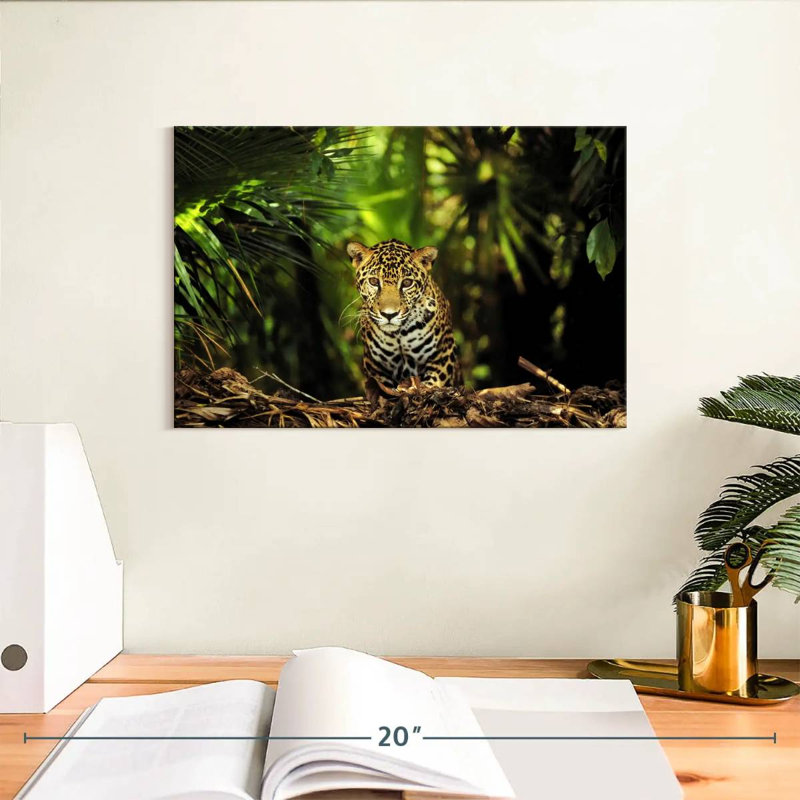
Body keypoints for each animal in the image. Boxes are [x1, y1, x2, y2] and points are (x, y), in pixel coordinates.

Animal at [346, 239, 462, 389]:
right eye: (374, 281)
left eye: (407, 283)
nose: (389, 315)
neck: (399, 335)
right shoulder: (375, 366)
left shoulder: (443, 354)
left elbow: (433, 383)